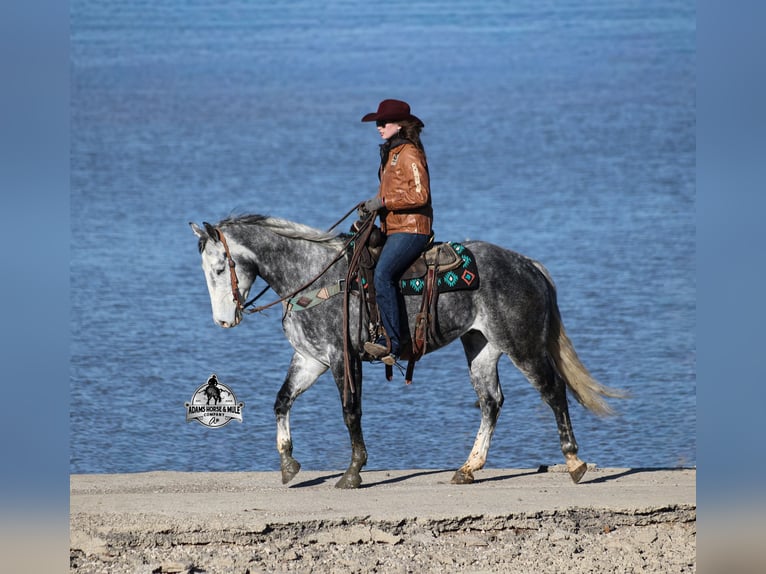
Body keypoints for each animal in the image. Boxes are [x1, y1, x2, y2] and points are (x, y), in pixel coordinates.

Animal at [190, 214, 624, 488]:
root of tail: (528, 265)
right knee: (491, 401)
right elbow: (281, 401)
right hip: (481, 346)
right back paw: (468, 468)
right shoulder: (310, 359)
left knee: (553, 391)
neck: (312, 275)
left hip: (522, 344)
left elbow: (350, 412)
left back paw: (574, 463)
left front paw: (353, 472)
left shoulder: (342, 358)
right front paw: (287, 464)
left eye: (219, 268)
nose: (223, 321)